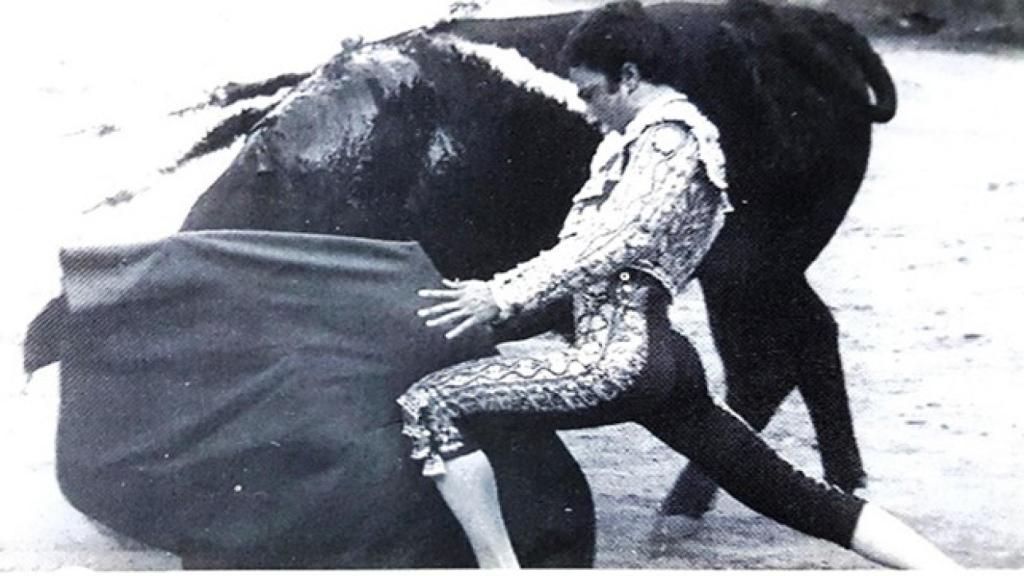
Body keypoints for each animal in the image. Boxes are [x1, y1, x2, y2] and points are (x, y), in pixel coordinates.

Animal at [25, 0, 897, 565]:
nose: (123, 514)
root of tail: (809, 25)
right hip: (764, 267)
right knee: (805, 341)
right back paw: (839, 480)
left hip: (750, 264)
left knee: (764, 361)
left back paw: (686, 513)